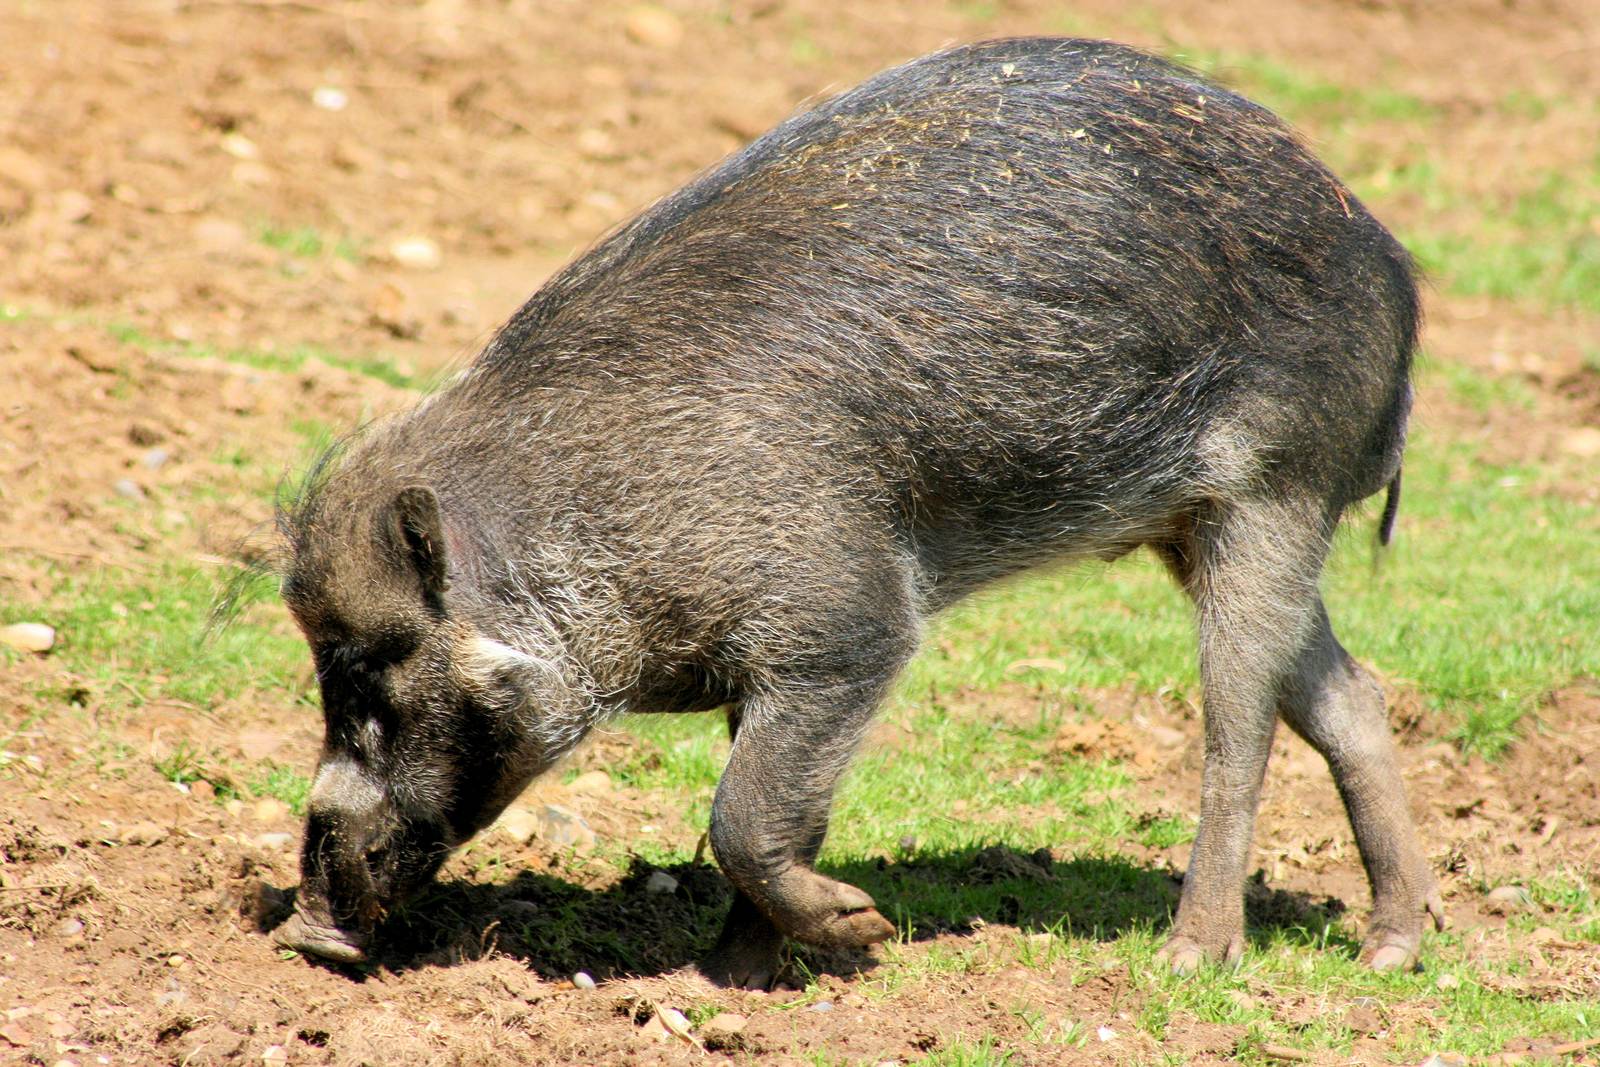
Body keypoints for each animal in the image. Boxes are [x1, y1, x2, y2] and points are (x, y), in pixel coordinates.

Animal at [271, 36, 1443, 986]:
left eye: (385, 666)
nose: (308, 935)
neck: (588, 527)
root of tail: (1393, 261)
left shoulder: (846, 618)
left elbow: (744, 812)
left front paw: (864, 930)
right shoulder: (777, 657)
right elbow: (783, 804)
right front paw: (727, 980)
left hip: (1277, 486)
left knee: (1239, 729)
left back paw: (1191, 958)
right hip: (1195, 524)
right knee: (1350, 695)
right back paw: (1392, 950)